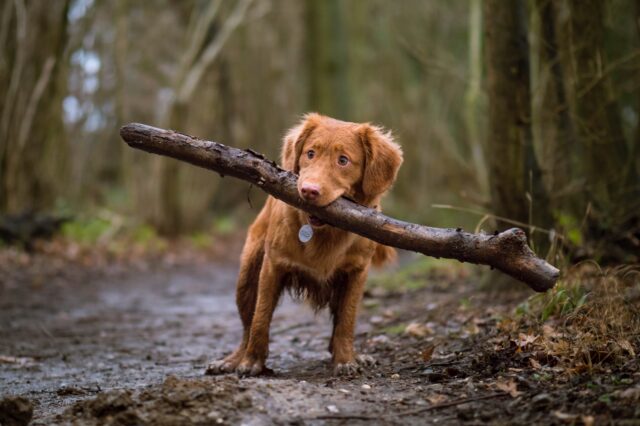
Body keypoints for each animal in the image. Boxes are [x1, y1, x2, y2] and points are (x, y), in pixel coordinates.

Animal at [208, 113, 402, 376]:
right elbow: (260, 318)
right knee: (247, 325)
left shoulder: (357, 272)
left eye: (343, 160)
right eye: (310, 153)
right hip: (247, 276)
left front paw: (345, 360)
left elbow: (346, 320)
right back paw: (233, 360)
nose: (309, 190)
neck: (325, 232)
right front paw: (252, 362)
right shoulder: (272, 265)